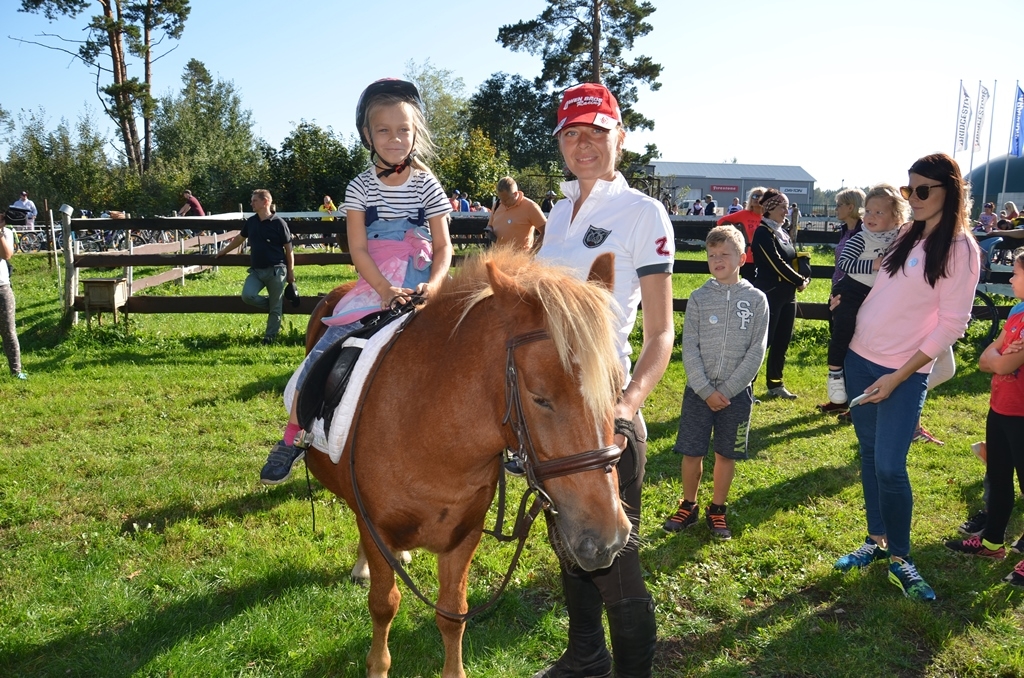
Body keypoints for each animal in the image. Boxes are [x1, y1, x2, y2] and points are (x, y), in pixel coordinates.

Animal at [301, 249, 630, 678]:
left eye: (617, 388)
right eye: (540, 397)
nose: (609, 538)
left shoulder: (464, 535)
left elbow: (452, 613)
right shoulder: (376, 529)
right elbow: (384, 605)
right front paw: (378, 665)